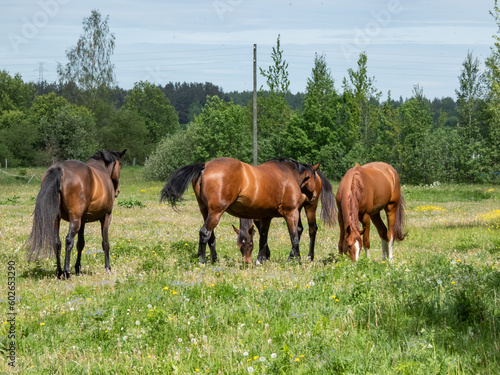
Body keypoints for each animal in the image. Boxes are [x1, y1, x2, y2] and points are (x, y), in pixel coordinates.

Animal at [24, 150, 126, 280]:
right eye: (120, 165)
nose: (117, 191)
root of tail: (59, 169)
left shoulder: (83, 221)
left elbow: (80, 244)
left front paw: (78, 268)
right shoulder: (106, 217)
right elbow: (105, 243)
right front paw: (108, 268)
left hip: (57, 219)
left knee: (57, 243)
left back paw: (59, 272)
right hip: (75, 220)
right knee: (68, 240)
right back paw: (66, 272)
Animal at [160, 157, 336, 266]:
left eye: (248, 245)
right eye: (310, 177)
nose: (314, 196)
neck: (288, 174)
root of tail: (205, 166)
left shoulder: (265, 216)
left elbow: (264, 238)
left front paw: (261, 259)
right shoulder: (290, 212)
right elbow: (293, 238)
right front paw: (296, 260)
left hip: (206, 211)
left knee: (210, 236)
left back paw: (213, 260)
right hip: (216, 212)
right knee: (205, 233)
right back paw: (203, 261)